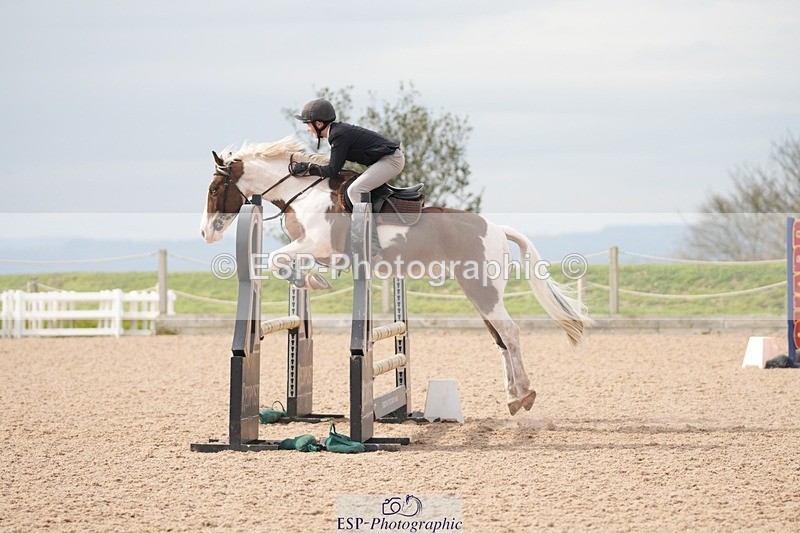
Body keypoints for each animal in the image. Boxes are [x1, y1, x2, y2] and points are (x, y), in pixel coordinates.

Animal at [200, 137, 593, 415]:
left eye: (214, 189)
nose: (206, 234)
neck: (304, 193)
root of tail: (497, 228)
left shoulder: (320, 245)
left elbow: (278, 259)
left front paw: (312, 281)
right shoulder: (314, 249)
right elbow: (284, 262)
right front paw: (309, 280)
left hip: (482, 290)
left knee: (509, 333)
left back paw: (525, 393)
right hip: (478, 291)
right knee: (500, 339)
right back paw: (512, 397)